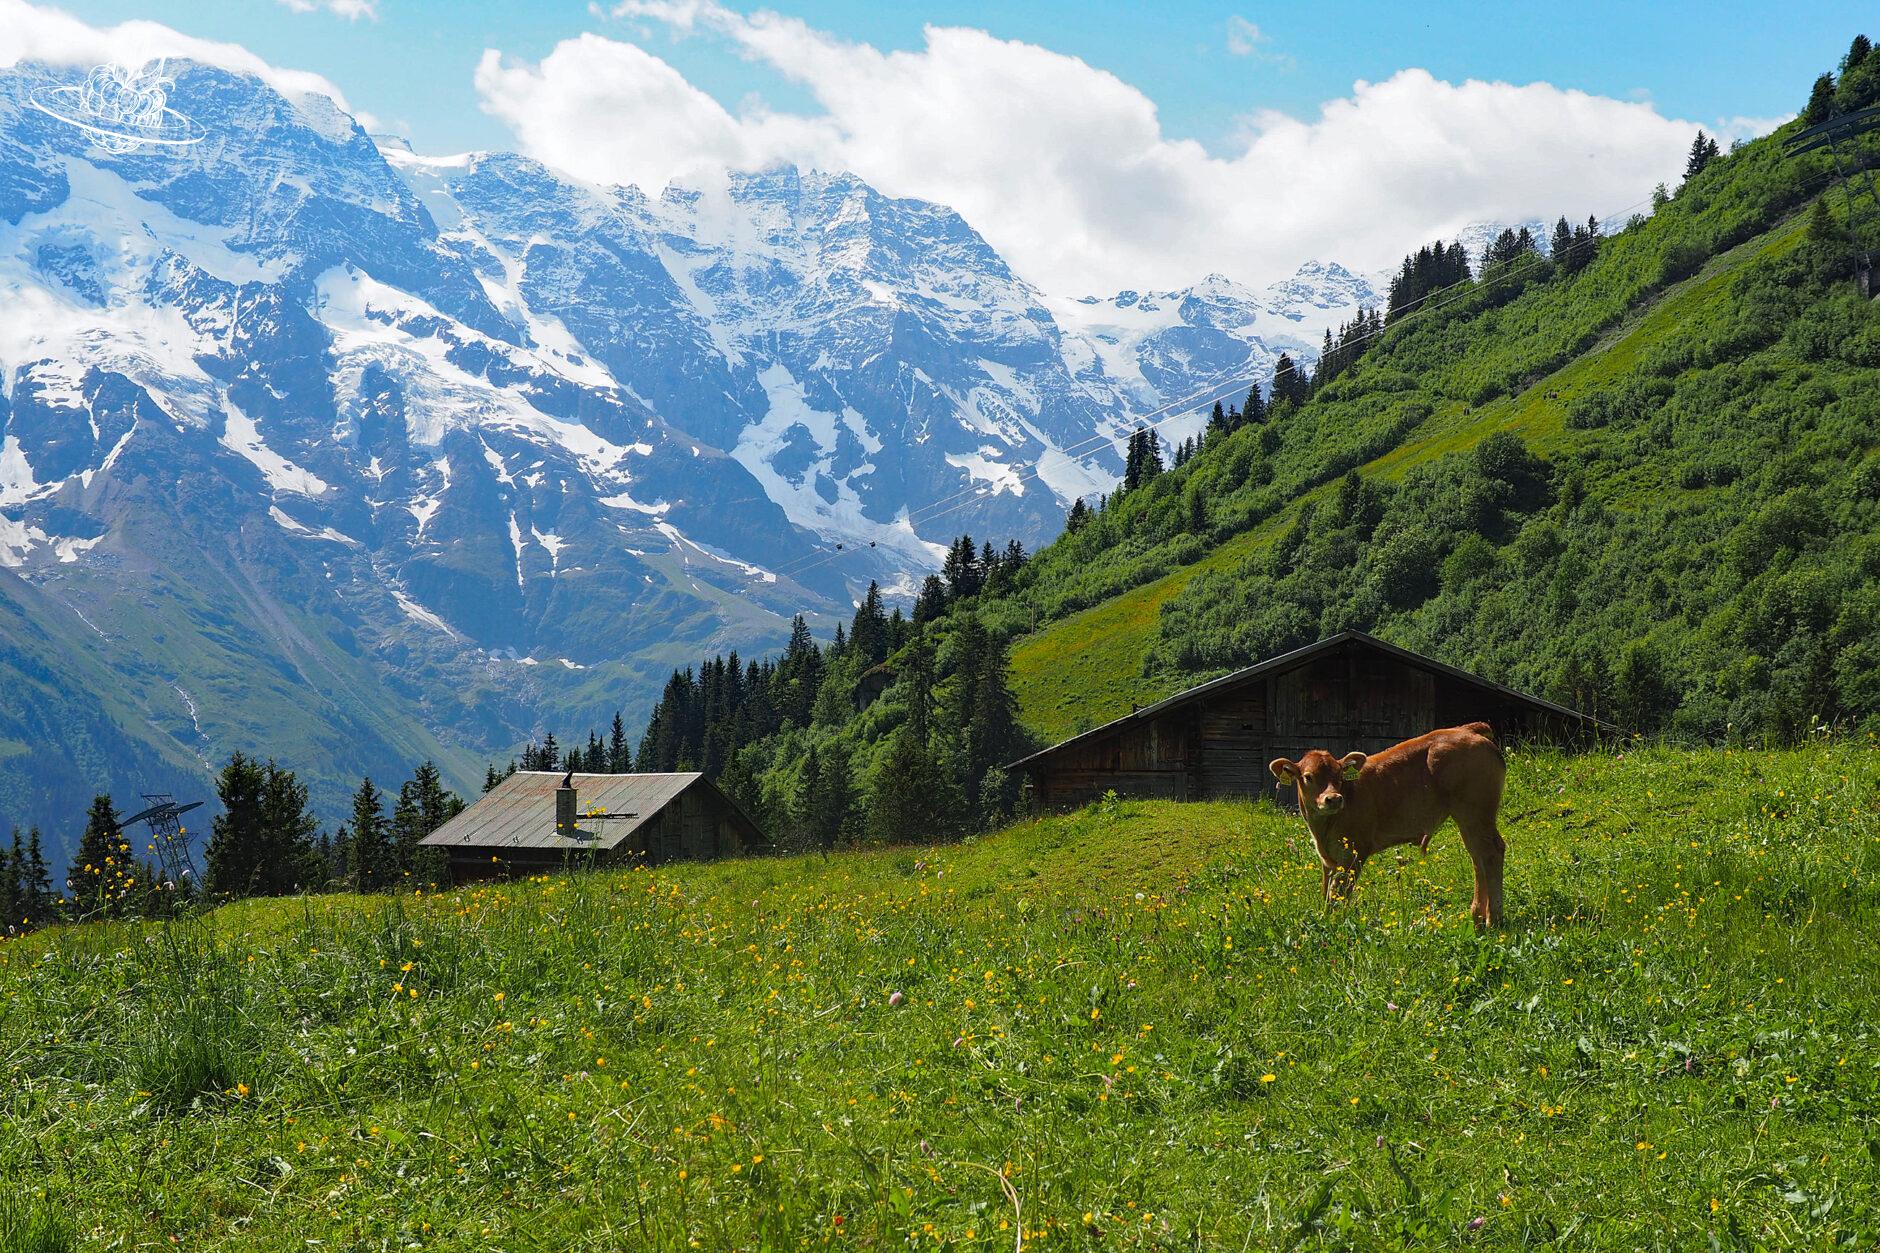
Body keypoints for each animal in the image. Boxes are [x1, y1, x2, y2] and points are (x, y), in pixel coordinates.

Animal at [1269, 722, 1507, 928]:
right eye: (1308, 777)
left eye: (1339, 775)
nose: (1333, 798)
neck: (1323, 829)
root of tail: (1466, 729)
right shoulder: (1328, 861)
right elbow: (1327, 892)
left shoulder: (1353, 854)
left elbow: (1338, 895)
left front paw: (1335, 926)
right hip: (1470, 819)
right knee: (1477, 857)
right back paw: (1478, 917)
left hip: (1475, 812)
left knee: (1489, 853)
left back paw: (1492, 919)